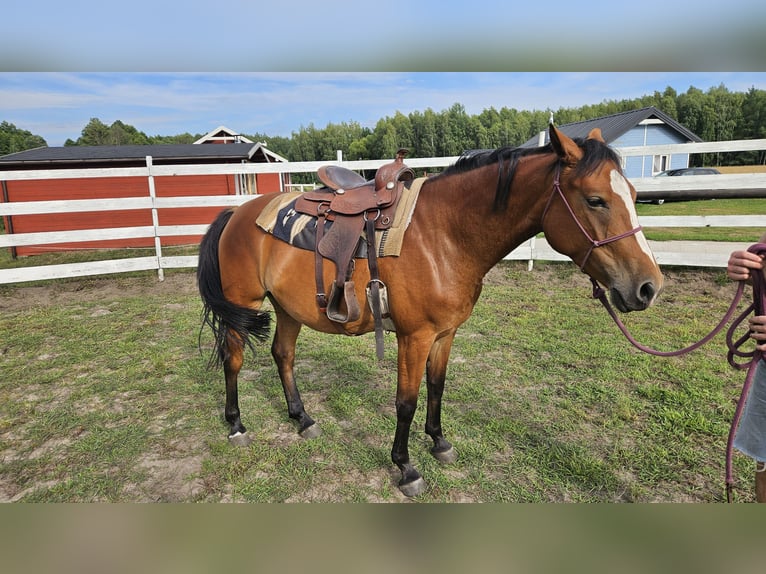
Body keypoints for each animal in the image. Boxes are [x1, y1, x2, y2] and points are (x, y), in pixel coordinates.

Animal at [196, 125, 664, 497]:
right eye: (596, 200)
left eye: (634, 195)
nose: (648, 287)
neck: (445, 234)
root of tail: (236, 212)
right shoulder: (413, 336)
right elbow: (406, 400)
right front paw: (405, 468)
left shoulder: (445, 333)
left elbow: (436, 387)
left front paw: (439, 442)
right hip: (243, 304)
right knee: (233, 359)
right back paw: (236, 426)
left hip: (289, 308)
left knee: (283, 355)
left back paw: (302, 418)